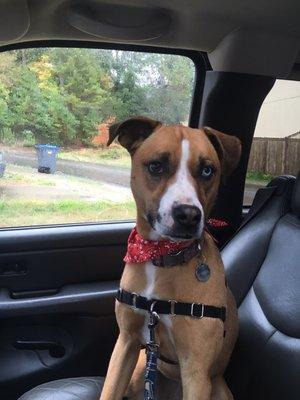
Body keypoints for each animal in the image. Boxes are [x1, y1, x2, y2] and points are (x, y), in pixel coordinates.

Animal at [101, 117, 241, 398]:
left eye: (207, 171)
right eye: (156, 166)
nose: (188, 215)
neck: (162, 256)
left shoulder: (196, 371)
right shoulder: (126, 344)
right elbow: (109, 391)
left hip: (217, 386)